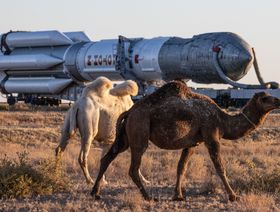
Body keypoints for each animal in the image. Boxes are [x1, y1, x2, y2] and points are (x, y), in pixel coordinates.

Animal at [91, 81, 278, 202]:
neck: (222, 120)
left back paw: (95, 193)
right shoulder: (211, 135)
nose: (278, 100)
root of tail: (129, 112)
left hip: (125, 136)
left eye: (270, 96)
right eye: (265, 98)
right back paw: (148, 197)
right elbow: (220, 166)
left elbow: (181, 167)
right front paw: (233, 196)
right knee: (133, 167)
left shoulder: (192, 143)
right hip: (139, 130)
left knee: (108, 157)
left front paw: (178, 195)